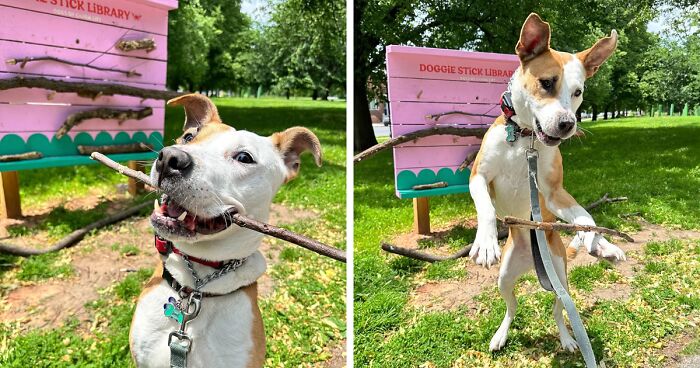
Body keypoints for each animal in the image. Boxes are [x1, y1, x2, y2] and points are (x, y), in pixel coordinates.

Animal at [470, 13, 624, 354]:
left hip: (561, 279)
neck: (524, 139)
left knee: (557, 310)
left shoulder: (554, 193)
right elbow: (485, 207)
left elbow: (586, 217)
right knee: (511, 307)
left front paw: (598, 242)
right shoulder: (477, 177)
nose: (568, 124)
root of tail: (531, 263)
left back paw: (568, 337)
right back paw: (501, 334)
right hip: (504, 278)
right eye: (547, 83)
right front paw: (485, 241)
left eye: (578, 92)